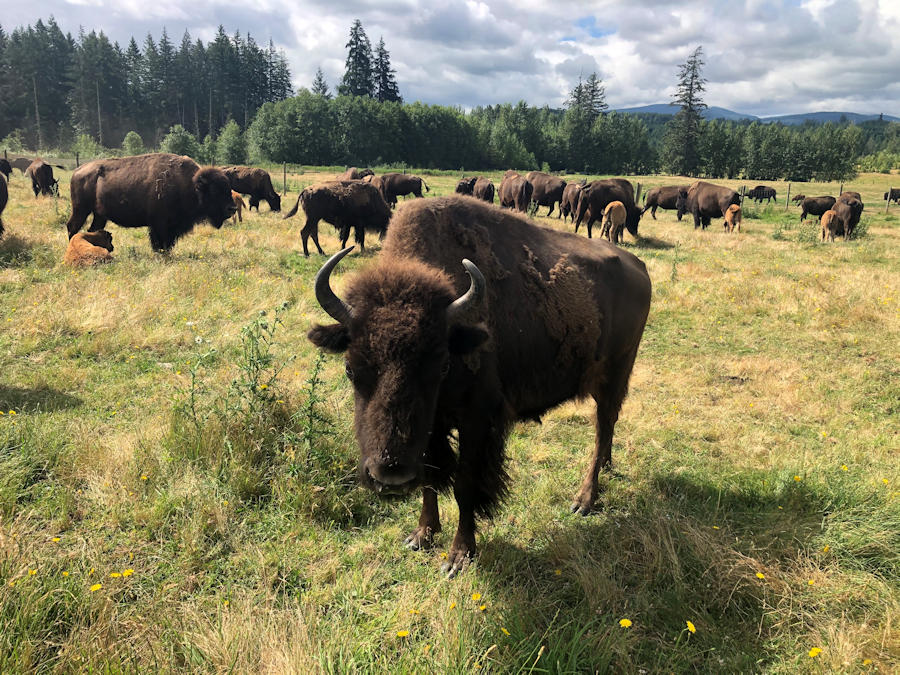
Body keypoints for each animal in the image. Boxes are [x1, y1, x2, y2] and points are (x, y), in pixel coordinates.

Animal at [65, 153, 236, 252]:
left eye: (228, 188)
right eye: (214, 191)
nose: (232, 208)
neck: (190, 184)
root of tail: (77, 170)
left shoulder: (173, 226)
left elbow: (168, 243)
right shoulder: (159, 224)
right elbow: (159, 242)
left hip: (99, 215)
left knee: (92, 229)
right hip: (81, 209)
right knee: (72, 226)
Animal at [308, 195, 651, 576]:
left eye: (442, 366)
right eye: (350, 369)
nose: (390, 476)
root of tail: (638, 266)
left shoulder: (477, 421)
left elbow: (465, 484)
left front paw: (459, 556)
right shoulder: (431, 431)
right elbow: (430, 479)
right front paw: (421, 535)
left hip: (616, 374)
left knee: (603, 427)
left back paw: (584, 500)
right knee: (606, 430)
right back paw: (604, 470)